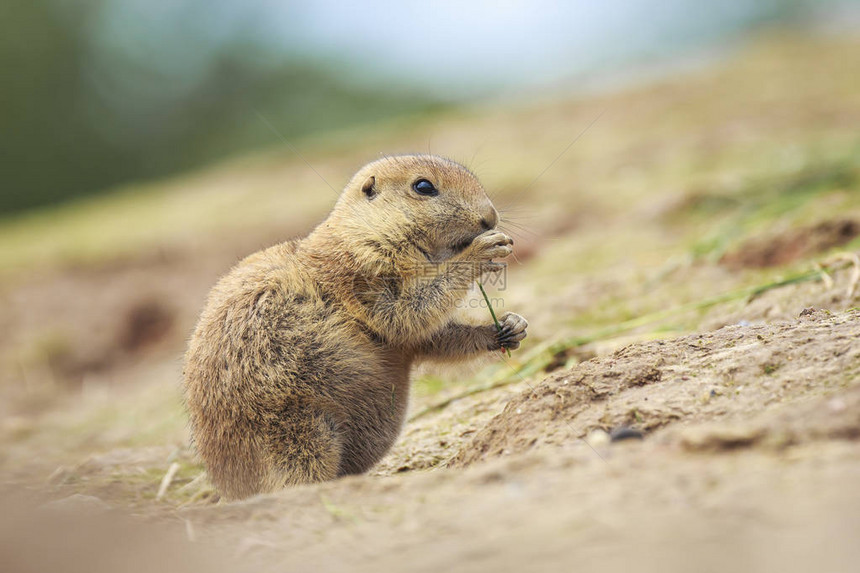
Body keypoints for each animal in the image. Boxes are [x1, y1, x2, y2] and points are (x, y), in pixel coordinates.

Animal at [185, 154, 528, 498]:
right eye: (423, 186)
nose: (490, 218)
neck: (361, 234)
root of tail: (232, 487)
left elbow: (428, 336)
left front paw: (511, 327)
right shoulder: (359, 277)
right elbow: (405, 313)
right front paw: (483, 250)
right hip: (296, 430)